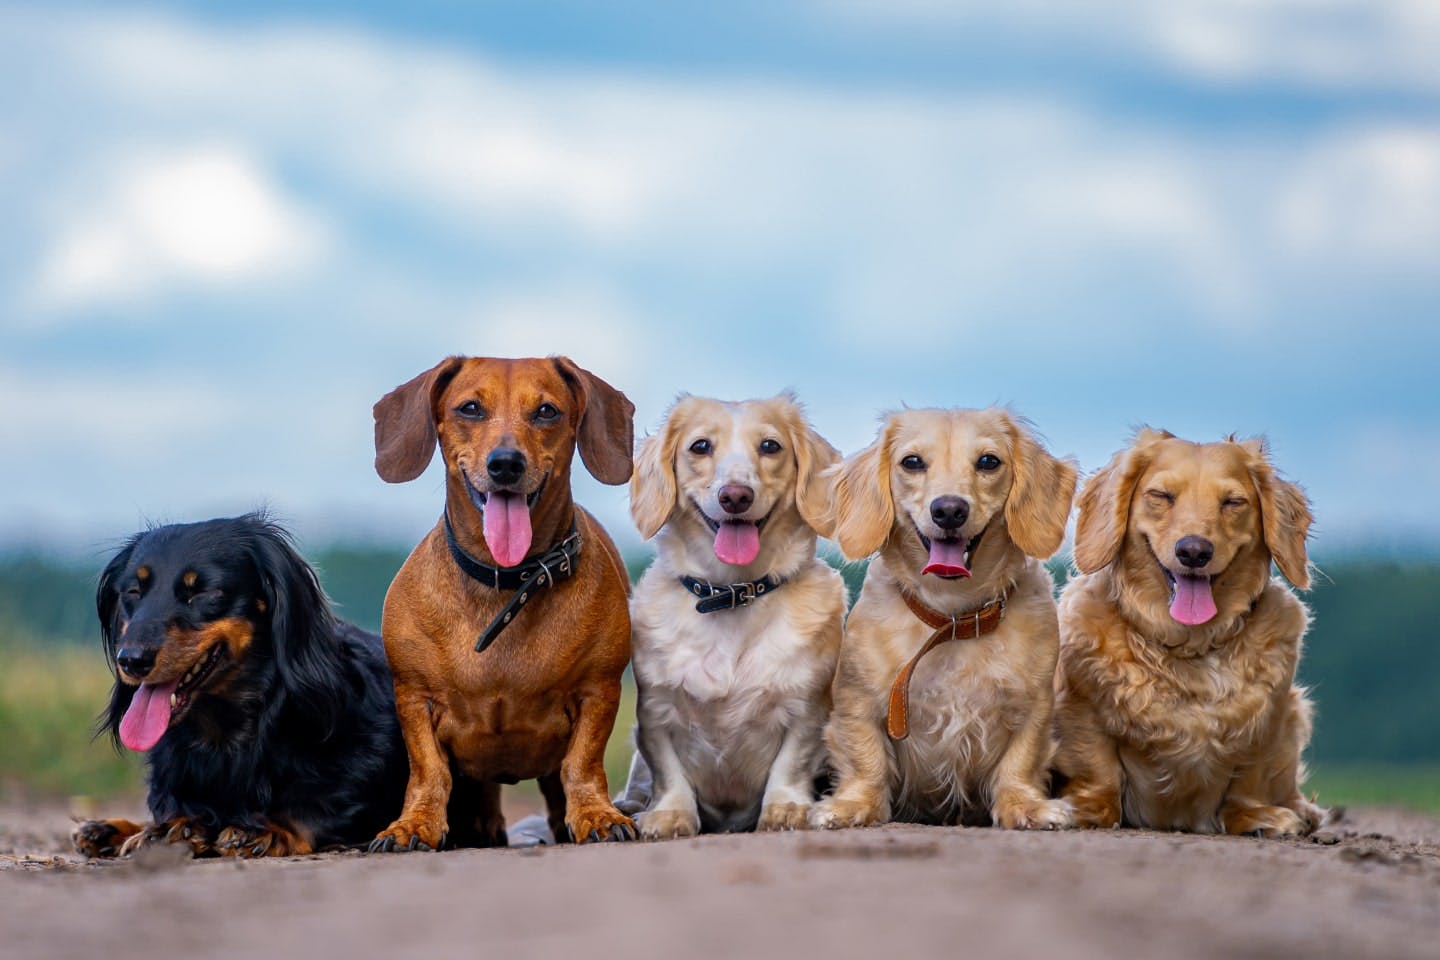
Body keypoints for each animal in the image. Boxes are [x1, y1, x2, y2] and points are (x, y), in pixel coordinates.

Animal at [73, 515, 411, 857]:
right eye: (133, 591)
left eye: (203, 592)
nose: (131, 660)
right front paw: (170, 826)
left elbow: (315, 809)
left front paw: (268, 829)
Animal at [627, 394, 846, 834]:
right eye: (700, 446)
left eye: (770, 446)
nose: (736, 496)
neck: (731, 593)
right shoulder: (656, 712)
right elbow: (668, 771)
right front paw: (670, 813)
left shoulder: (806, 709)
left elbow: (790, 763)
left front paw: (785, 808)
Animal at [812, 408, 1082, 829]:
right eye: (911, 462)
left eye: (988, 461)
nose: (950, 510)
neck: (952, 617)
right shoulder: (858, 703)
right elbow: (866, 760)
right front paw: (854, 805)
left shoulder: (1034, 707)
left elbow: (1020, 762)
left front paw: (1024, 805)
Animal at [1059, 426, 1324, 834]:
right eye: (1161, 496)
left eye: (1233, 502)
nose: (1195, 551)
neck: (1190, 644)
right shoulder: (1084, 708)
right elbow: (1099, 768)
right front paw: (1088, 808)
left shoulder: (1273, 715)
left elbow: (1250, 777)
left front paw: (1255, 815)